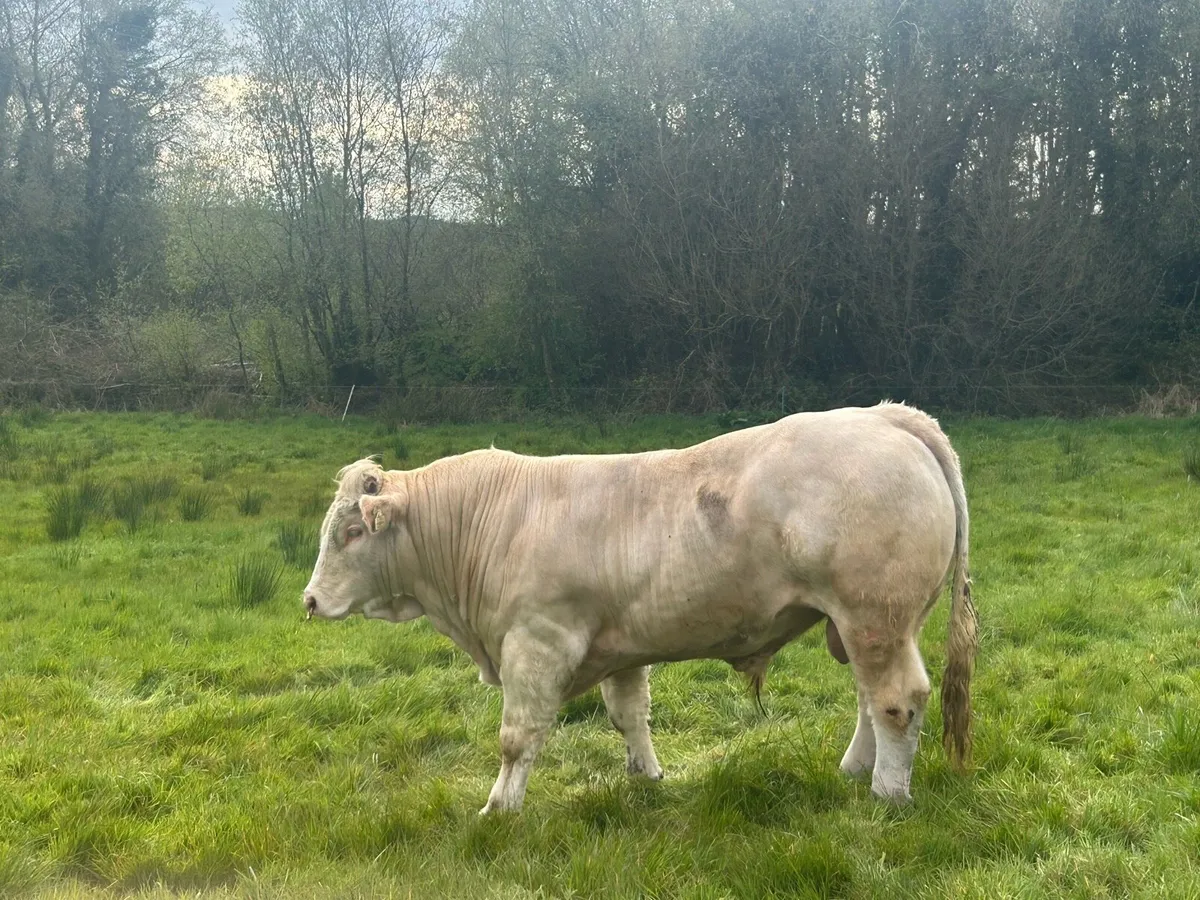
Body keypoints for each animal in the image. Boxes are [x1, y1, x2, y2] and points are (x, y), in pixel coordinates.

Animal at [303, 402, 977, 814]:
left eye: (351, 533)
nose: (309, 600)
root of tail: (883, 415)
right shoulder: (621, 647)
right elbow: (630, 716)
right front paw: (646, 779)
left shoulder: (535, 643)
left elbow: (517, 737)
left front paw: (499, 808)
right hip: (867, 623)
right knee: (869, 698)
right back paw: (854, 770)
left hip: (875, 617)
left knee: (896, 701)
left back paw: (887, 793)